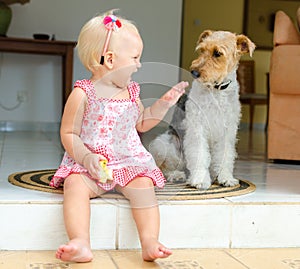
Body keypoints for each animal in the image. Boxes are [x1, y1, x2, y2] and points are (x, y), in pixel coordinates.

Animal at [150, 29, 255, 188]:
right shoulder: (197, 129)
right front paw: (200, 180)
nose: (194, 72)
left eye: (218, 53)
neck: (216, 90)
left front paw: (226, 178)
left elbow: (225, 157)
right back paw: (176, 175)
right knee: (164, 167)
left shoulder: (227, 132)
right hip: (164, 145)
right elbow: (199, 154)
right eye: (202, 50)